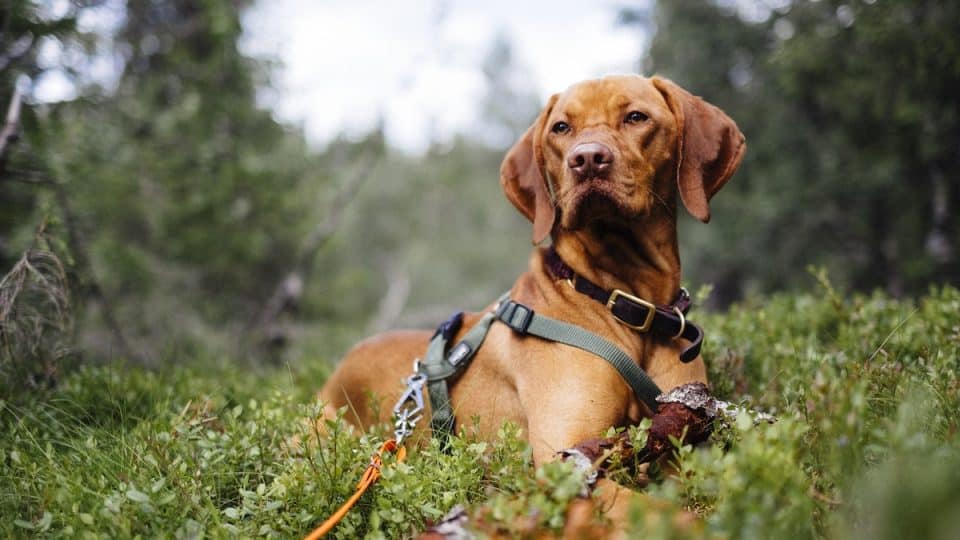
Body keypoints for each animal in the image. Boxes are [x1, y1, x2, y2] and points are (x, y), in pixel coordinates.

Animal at [318, 74, 748, 532]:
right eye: (561, 128)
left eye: (636, 117)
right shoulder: (565, 460)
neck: (623, 300)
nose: (587, 159)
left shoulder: (679, 436)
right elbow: (670, 514)